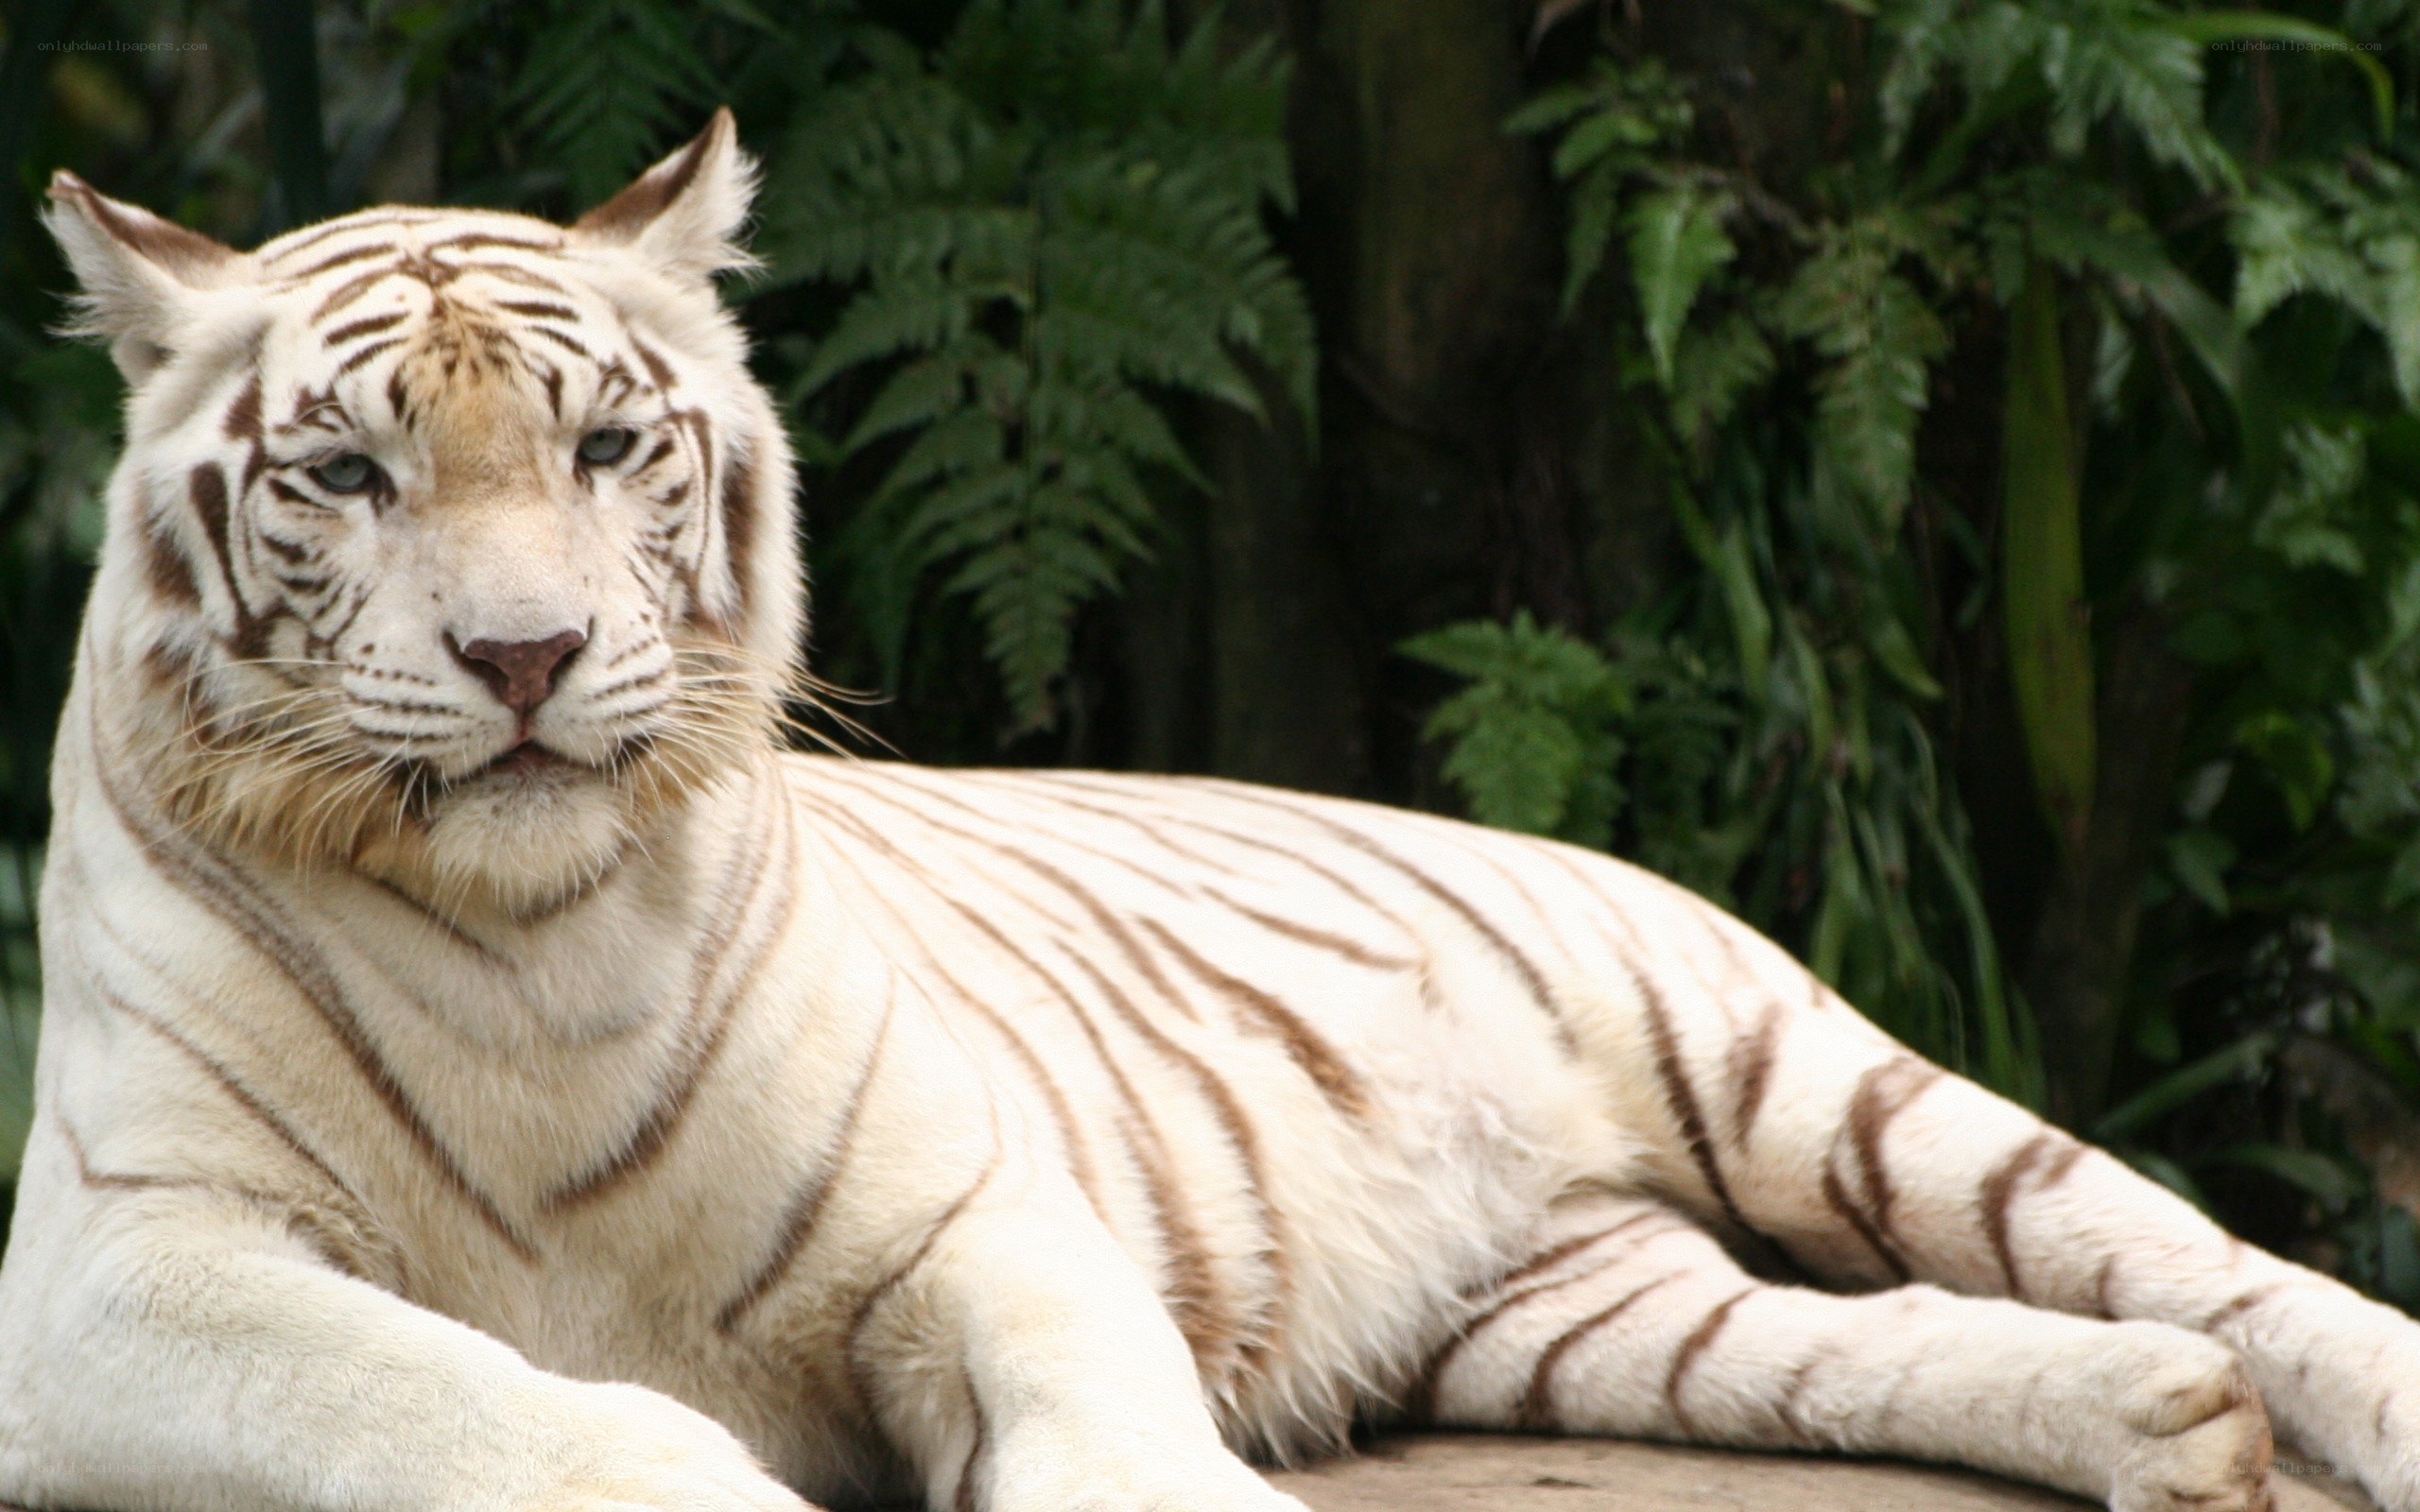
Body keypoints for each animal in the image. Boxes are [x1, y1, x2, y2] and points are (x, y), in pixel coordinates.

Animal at [2, 107, 2416, 1512]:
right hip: (1571, 1300)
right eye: (344, 471)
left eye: (602, 447)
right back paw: (2159, 1422)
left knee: (2198, 1253)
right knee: (1843, 1346)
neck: (532, 935)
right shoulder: (122, 1273)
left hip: (1785, 1062)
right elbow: (500, 1408)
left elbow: (1097, 1409)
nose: (524, 655)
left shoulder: (975, 1206)